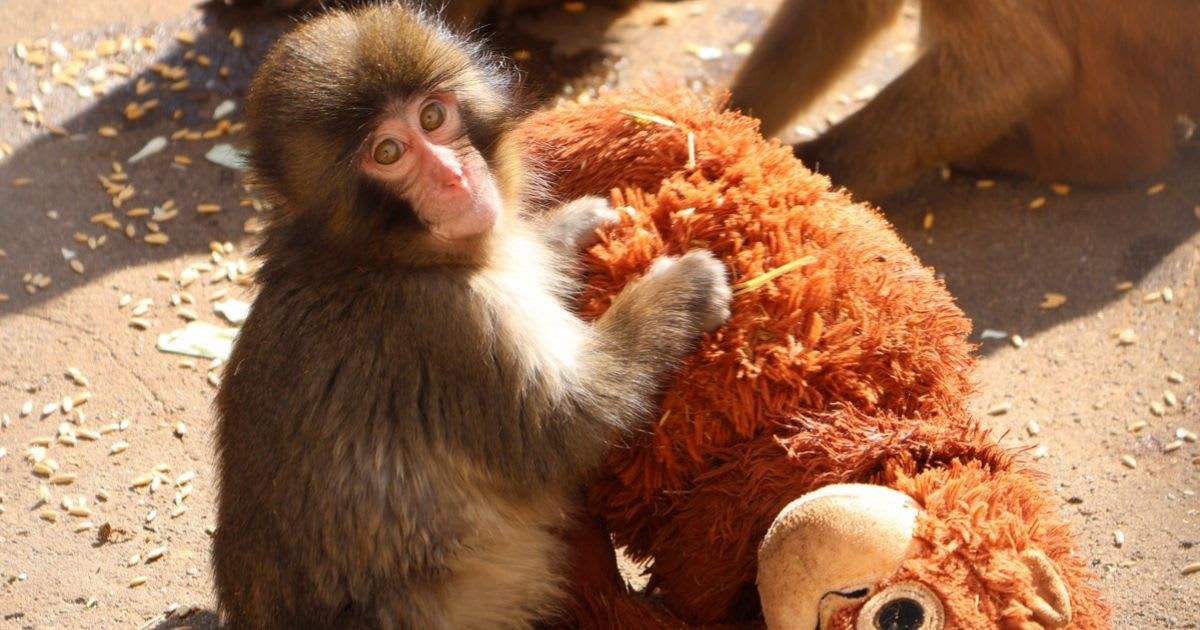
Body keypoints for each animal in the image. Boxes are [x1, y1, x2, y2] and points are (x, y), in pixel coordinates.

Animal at [211, 4, 732, 629]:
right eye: (388, 152)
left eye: (433, 116)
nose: (453, 177)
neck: (376, 257)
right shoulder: (447, 326)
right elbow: (565, 426)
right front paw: (680, 289)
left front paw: (572, 226)